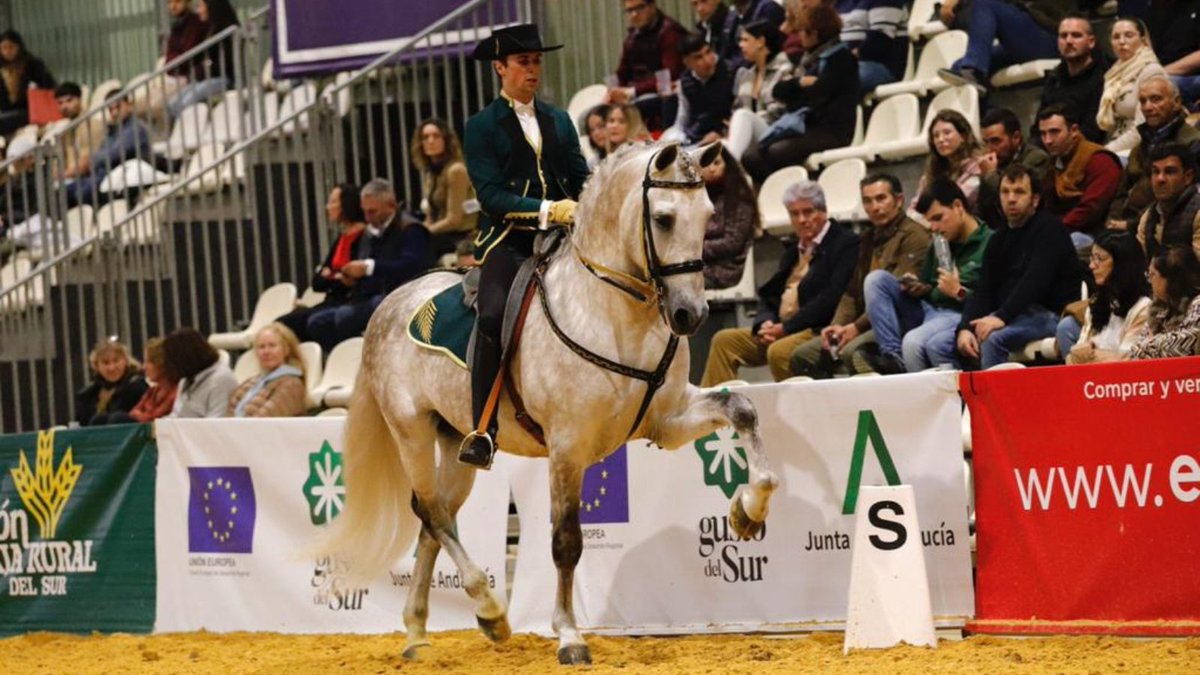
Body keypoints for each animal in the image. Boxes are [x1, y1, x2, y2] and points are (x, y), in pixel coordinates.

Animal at [320, 142, 779, 665]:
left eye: (707, 216)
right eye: (663, 219)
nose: (691, 315)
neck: (615, 314)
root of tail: (387, 304)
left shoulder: (667, 420)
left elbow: (742, 409)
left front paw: (747, 512)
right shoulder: (567, 446)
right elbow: (566, 542)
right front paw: (569, 636)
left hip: (455, 442)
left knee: (437, 521)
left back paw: (420, 633)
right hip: (410, 431)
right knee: (430, 512)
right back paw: (490, 609)